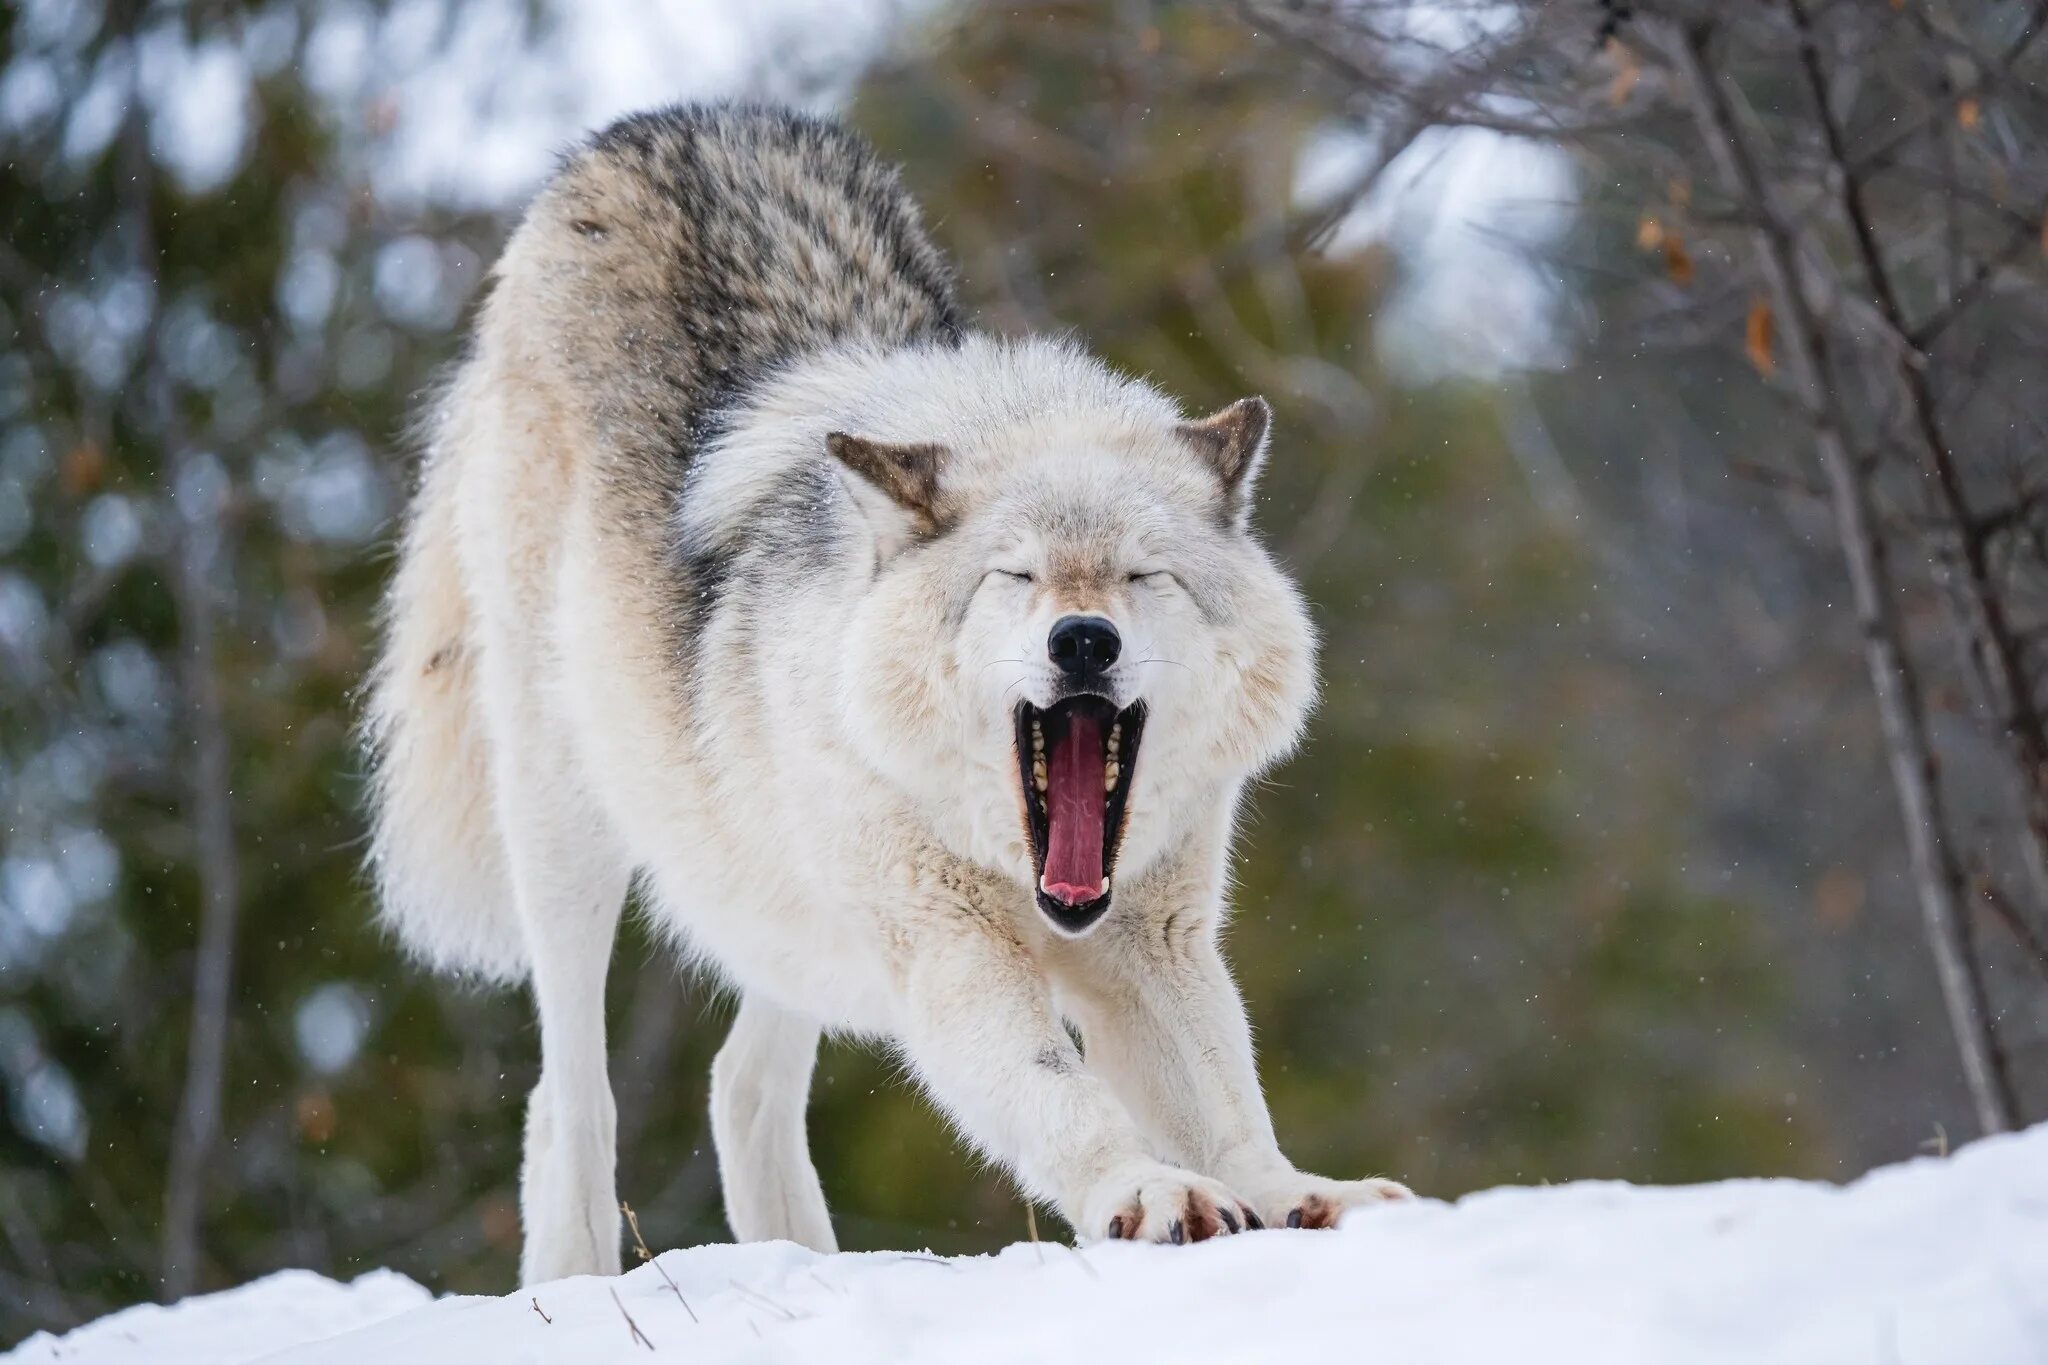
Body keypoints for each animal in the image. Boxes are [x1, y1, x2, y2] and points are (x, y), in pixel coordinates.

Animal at [364, 104, 1409, 1285]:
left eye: (1145, 575)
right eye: (1016, 576)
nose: (1084, 641)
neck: (1017, 863)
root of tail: (652, 127)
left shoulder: (1154, 940)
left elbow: (1228, 1101)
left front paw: (1298, 1195)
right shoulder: (949, 944)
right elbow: (1058, 1088)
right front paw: (1144, 1191)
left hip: (783, 909)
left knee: (741, 1085)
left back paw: (811, 1268)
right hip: (570, 825)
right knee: (567, 1094)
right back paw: (575, 1277)